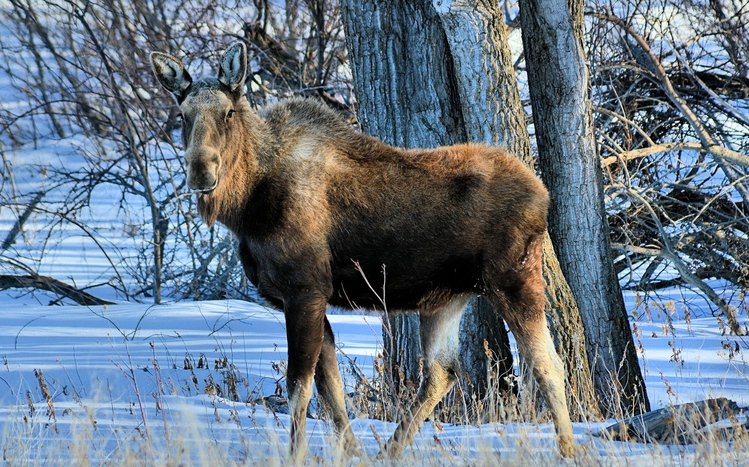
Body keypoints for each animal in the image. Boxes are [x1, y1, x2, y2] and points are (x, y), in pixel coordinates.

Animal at [150, 42, 575, 461]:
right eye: (183, 115)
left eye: (228, 112)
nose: (201, 171)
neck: (247, 208)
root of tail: (543, 194)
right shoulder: (308, 297)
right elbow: (331, 389)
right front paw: (352, 451)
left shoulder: (305, 290)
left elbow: (300, 387)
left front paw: (297, 454)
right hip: (447, 298)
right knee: (442, 372)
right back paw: (389, 450)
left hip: (514, 278)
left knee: (548, 364)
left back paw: (568, 449)